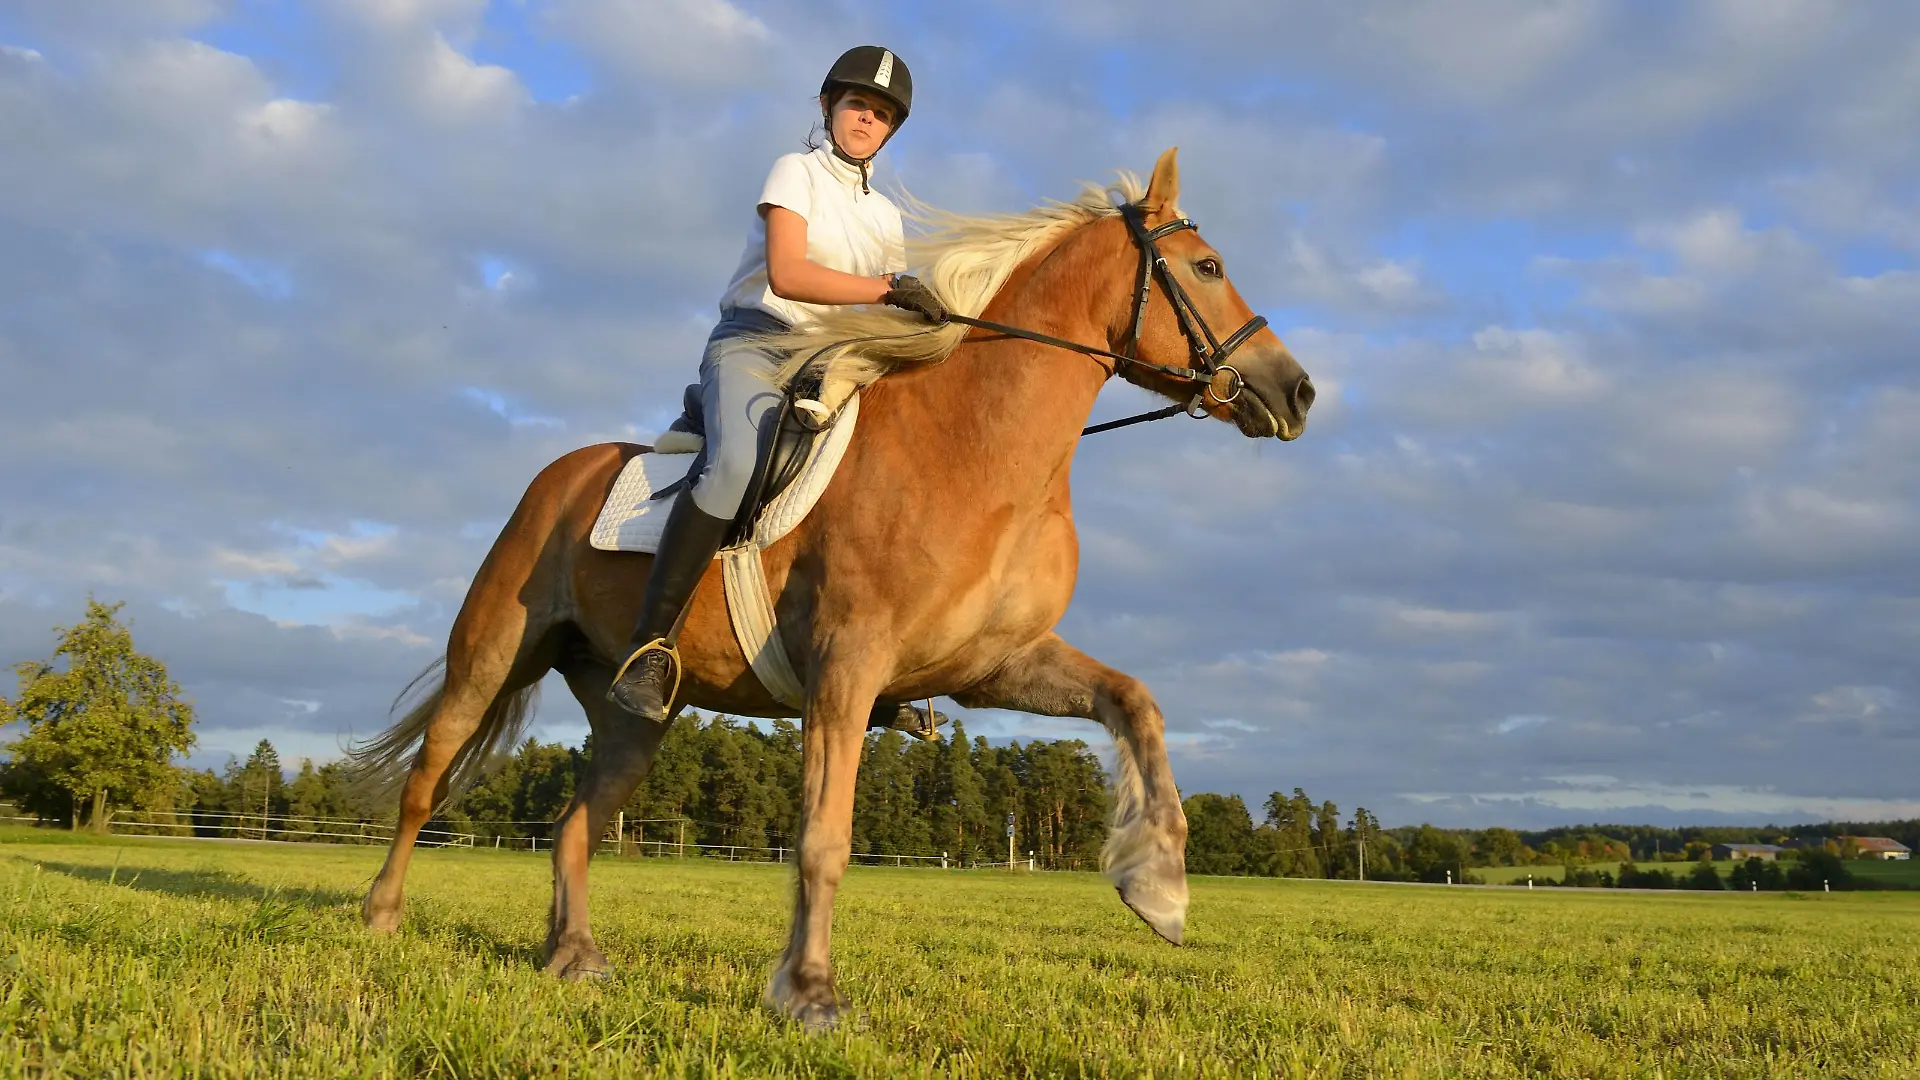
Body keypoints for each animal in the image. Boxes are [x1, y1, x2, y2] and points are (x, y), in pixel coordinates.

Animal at [349, 148, 1314, 1030]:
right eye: (1208, 267)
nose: (1297, 391)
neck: (978, 446)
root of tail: (558, 476)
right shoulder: (847, 667)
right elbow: (823, 836)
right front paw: (809, 992)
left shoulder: (992, 664)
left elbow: (1135, 701)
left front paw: (1159, 887)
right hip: (493, 657)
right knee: (426, 781)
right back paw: (382, 917)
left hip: (632, 717)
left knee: (577, 822)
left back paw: (573, 955)